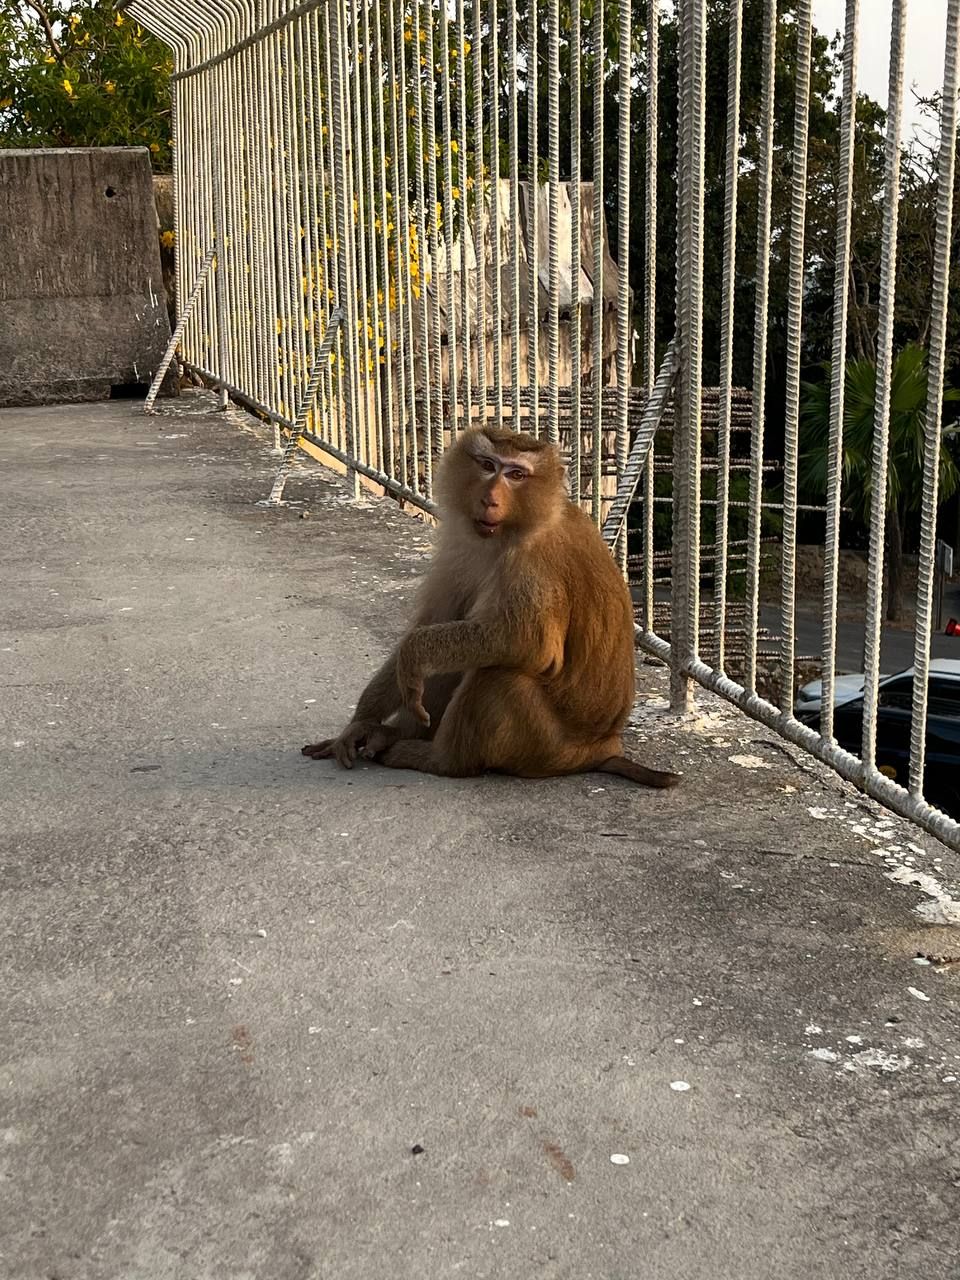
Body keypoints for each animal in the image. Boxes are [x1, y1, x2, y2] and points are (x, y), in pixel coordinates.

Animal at [302, 425, 680, 789]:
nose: (490, 499)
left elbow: (527, 643)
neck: (515, 528)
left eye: (516, 474)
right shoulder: (461, 548)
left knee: (500, 673)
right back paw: (389, 734)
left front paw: (412, 654)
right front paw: (360, 723)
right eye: (487, 465)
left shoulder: (535, 562)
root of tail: (603, 747)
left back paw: (438, 759)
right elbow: (436, 622)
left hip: (546, 747)